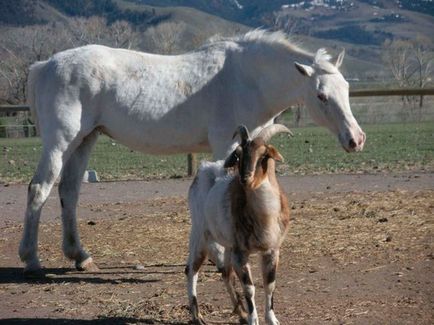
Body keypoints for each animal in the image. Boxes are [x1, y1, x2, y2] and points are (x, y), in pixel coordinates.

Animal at [21, 29, 366, 274]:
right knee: (39, 189)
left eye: (347, 88)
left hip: (85, 140)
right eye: (321, 96)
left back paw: (81, 256)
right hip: (61, 142)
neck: (246, 79)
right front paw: (220, 255)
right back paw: (31, 259)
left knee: (69, 191)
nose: (356, 139)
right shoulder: (227, 146)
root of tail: (44, 65)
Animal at [186, 124, 292, 324]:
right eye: (239, 154)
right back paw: (198, 316)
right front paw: (253, 320)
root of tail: (206, 167)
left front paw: (272, 319)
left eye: (264, 155)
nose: (245, 178)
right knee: (191, 269)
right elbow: (249, 288)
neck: (264, 217)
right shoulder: (240, 252)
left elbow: (270, 284)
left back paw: (240, 314)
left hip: (225, 245)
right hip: (200, 234)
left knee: (226, 273)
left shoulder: (272, 250)